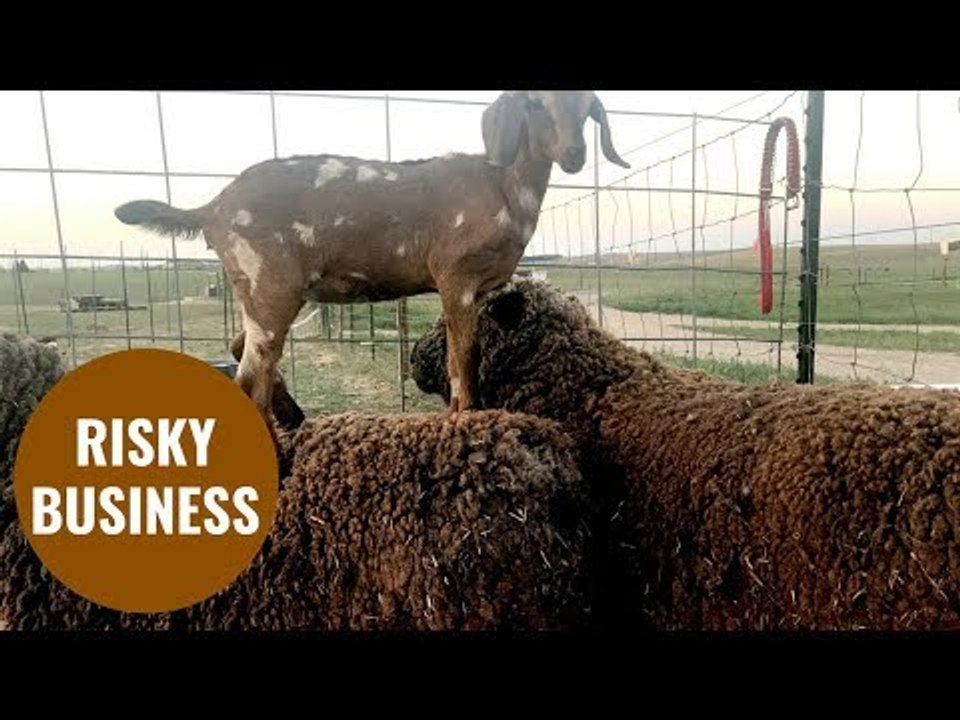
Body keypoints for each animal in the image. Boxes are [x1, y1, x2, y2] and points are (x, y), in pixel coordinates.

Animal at [112, 91, 630, 433]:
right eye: (535, 104)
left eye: (589, 109)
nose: (575, 153)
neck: (500, 185)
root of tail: (213, 208)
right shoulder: (454, 275)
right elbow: (462, 360)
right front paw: (466, 416)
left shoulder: (482, 287)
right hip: (268, 279)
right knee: (249, 376)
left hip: (263, 287)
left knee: (242, 346)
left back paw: (293, 414)